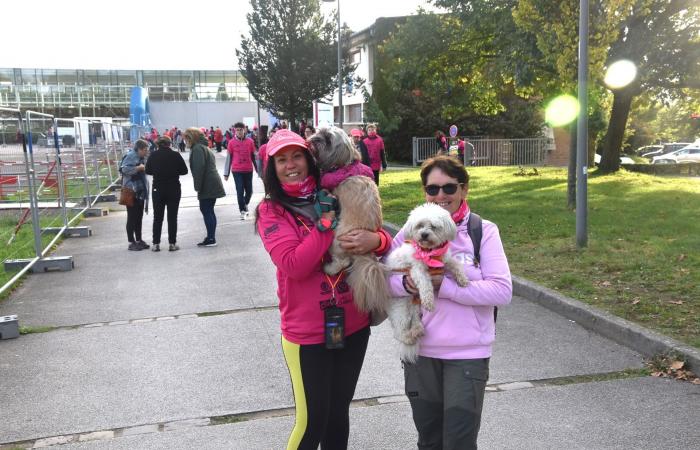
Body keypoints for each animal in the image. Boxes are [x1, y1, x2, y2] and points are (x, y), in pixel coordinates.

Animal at [386, 203, 468, 362]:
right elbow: (425, 284)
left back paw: (417, 330)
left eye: (433, 227)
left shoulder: (446, 259)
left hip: (415, 305)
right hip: (400, 306)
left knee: (415, 318)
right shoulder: (417, 270)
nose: (424, 234)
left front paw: (463, 279)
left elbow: (456, 264)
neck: (429, 252)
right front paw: (429, 301)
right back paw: (408, 337)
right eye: (419, 225)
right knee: (399, 330)